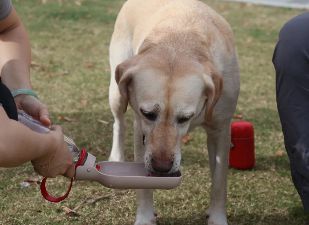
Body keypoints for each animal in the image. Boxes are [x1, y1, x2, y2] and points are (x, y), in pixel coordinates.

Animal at [109, 0, 241, 225]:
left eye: (185, 118)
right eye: (148, 114)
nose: (162, 168)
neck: (179, 41)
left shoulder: (221, 128)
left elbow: (219, 180)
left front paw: (217, 217)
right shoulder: (140, 128)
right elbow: (143, 185)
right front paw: (144, 217)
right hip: (117, 92)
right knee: (118, 123)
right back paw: (116, 157)